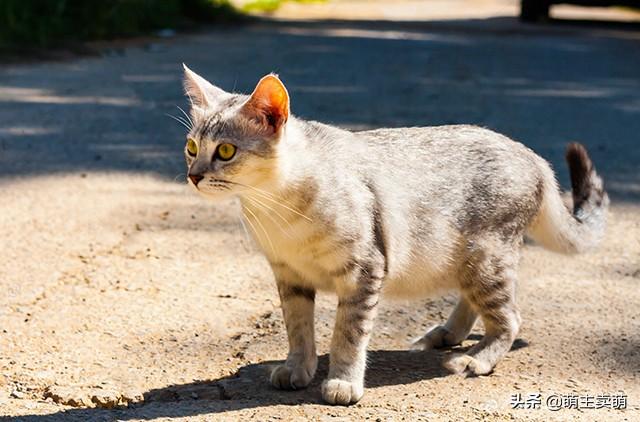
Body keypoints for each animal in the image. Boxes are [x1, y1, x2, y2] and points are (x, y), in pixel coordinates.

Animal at [179, 65, 604, 406]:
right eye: (192, 147)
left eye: (227, 151)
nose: (193, 175)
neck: (276, 210)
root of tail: (534, 157)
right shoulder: (290, 275)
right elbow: (298, 330)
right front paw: (297, 369)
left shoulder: (364, 270)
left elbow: (348, 334)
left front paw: (342, 382)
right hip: (470, 260)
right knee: (474, 303)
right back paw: (446, 333)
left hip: (487, 259)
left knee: (510, 319)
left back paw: (476, 358)